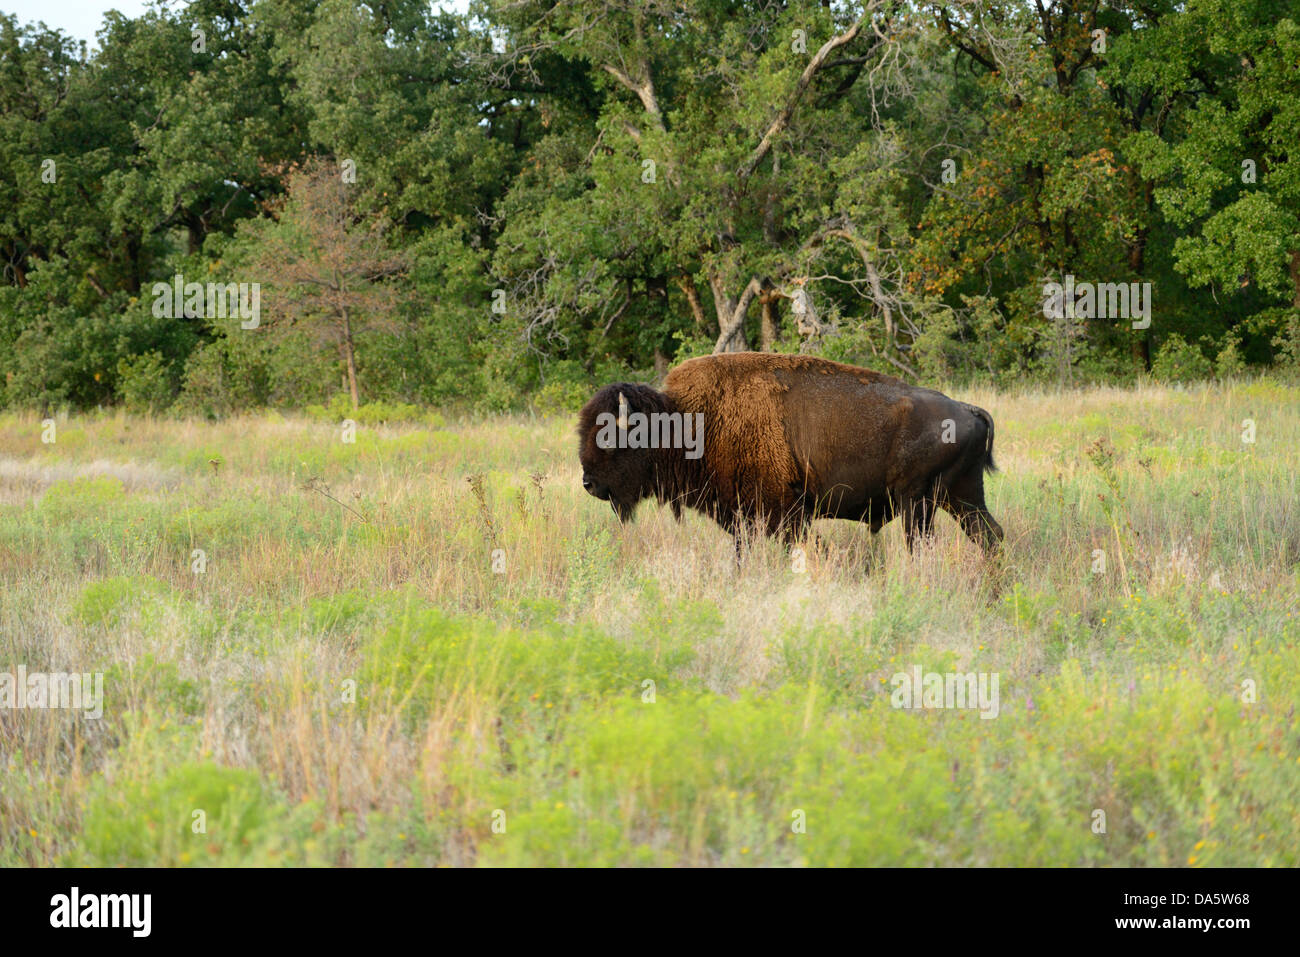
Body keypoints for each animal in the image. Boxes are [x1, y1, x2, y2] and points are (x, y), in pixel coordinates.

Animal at [579, 353, 1003, 553]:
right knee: (990, 535)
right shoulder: (743, 516)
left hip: (918, 501)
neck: (687, 421)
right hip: (961, 497)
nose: (589, 483)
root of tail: (968, 409)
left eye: (611, 440)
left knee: (925, 543)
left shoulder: (783, 512)